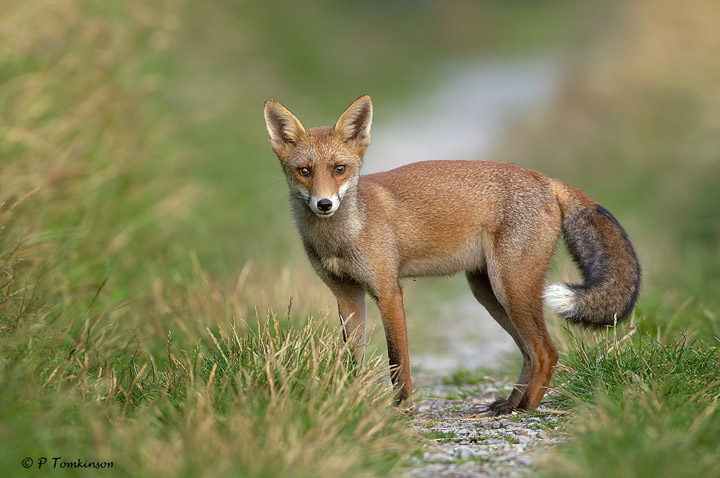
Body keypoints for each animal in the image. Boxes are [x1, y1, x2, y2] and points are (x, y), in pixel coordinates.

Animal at [263, 95, 641, 414]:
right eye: (304, 171)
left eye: (339, 169)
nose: (324, 204)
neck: (343, 236)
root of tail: (545, 179)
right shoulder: (347, 296)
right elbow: (352, 362)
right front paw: (354, 405)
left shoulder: (389, 292)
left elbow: (398, 362)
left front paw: (402, 412)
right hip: (490, 294)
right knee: (530, 353)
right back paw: (511, 402)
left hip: (513, 289)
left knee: (546, 352)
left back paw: (526, 409)